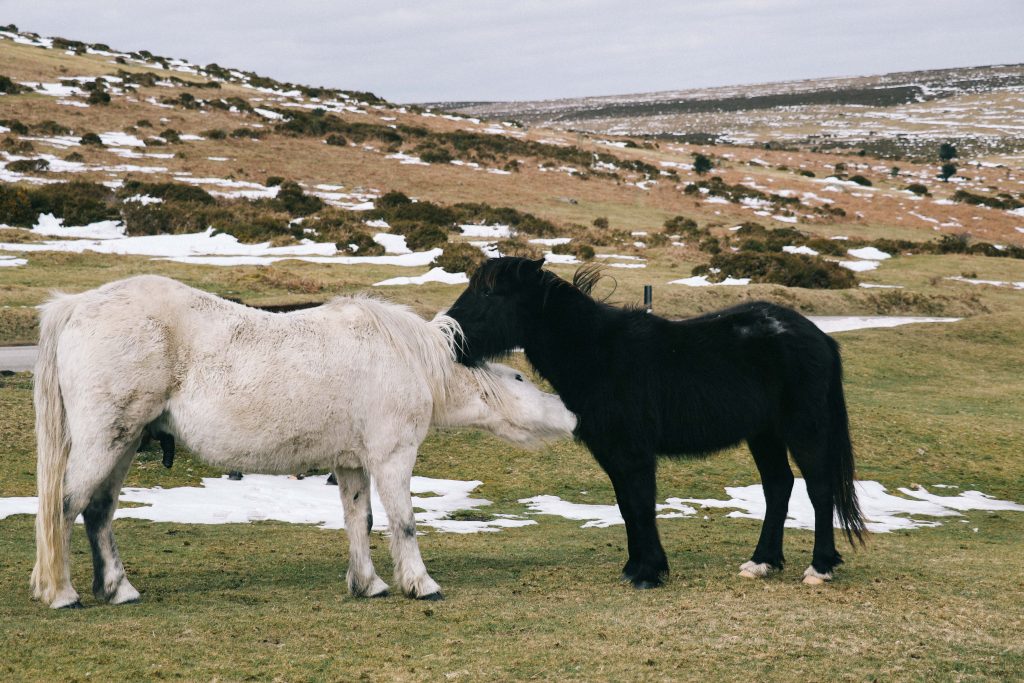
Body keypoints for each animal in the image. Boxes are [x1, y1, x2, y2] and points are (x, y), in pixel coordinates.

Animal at [32, 276, 577, 610]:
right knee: (63, 507)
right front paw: (421, 585)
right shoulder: (392, 458)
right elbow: (403, 522)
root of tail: (76, 306)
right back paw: (61, 593)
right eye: (519, 378)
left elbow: (361, 520)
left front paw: (368, 584)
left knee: (98, 512)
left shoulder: (352, 464)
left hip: (123, 445)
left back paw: (118, 589)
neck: (408, 359)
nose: (571, 415)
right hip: (105, 442)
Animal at [448, 259, 864, 589]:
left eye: (489, 294)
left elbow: (641, 504)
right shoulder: (612, 453)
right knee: (778, 486)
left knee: (819, 488)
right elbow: (626, 507)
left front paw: (649, 573)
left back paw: (819, 568)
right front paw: (636, 568)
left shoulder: (633, 453)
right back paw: (760, 563)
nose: (450, 338)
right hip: (764, 434)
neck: (600, 354)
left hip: (804, 428)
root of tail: (818, 337)